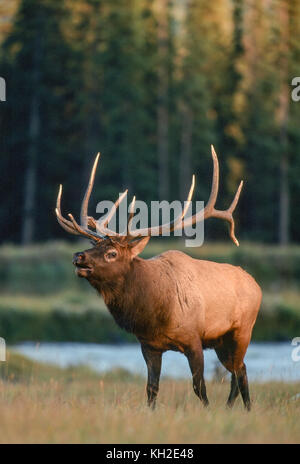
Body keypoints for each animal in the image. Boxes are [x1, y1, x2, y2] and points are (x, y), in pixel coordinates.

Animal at [55, 146, 262, 410]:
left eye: (112, 253)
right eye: (94, 246)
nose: (78, 256)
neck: (155, 311)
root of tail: (256, 284)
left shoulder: (194, 339)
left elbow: (199, 387)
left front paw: (207, 411)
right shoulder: (149, 346)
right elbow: (151, 389)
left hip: (242, 331)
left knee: (240, 371)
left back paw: (244, 409)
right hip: (221, 341)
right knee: (239, 370)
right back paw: (231, 408)